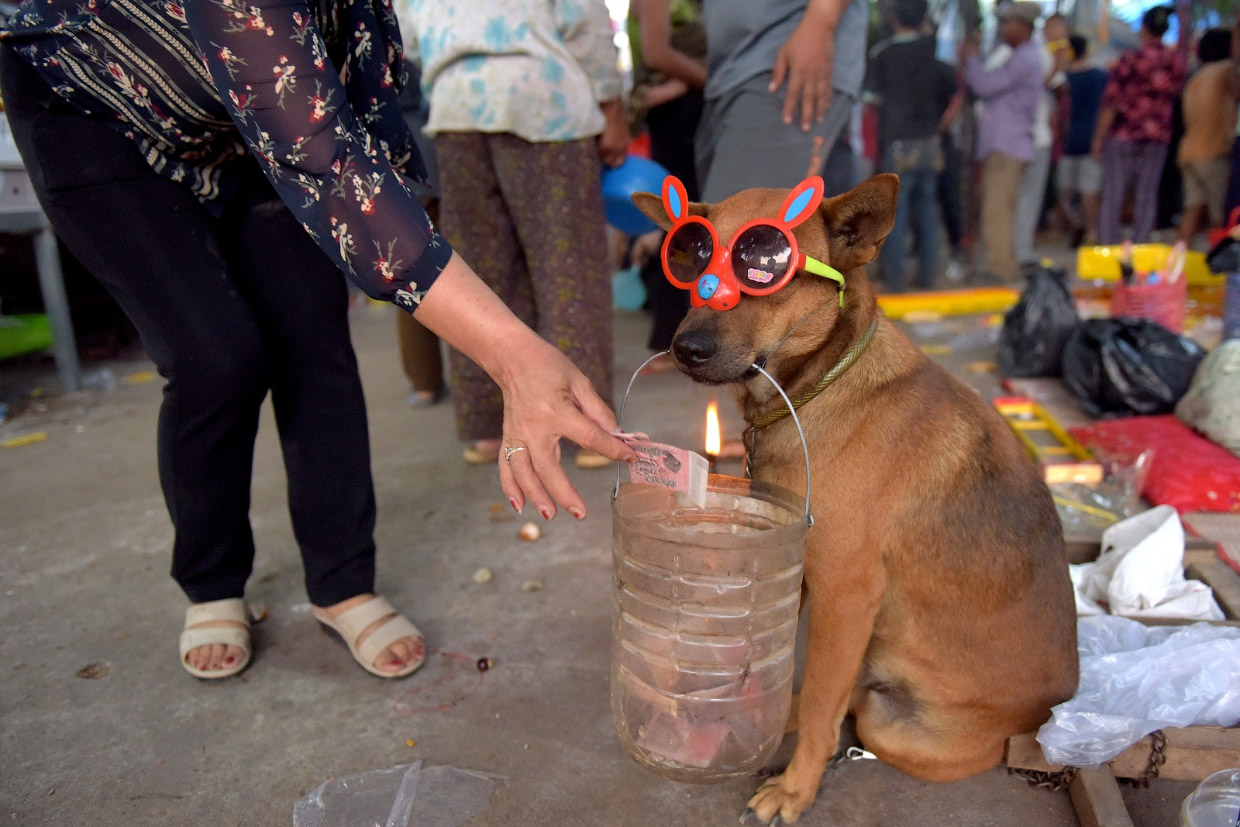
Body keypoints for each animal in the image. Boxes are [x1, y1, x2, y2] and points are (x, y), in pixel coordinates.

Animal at [634, 174, 1081, 823]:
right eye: (689, 256)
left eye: (764, 267)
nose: (684, 348)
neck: (820, 388)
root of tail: (1043, 718)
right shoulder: (792, 567)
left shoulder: (845, 594)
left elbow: (824, 699)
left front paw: (795, 789)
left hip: (890, 724)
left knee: (848, 706)